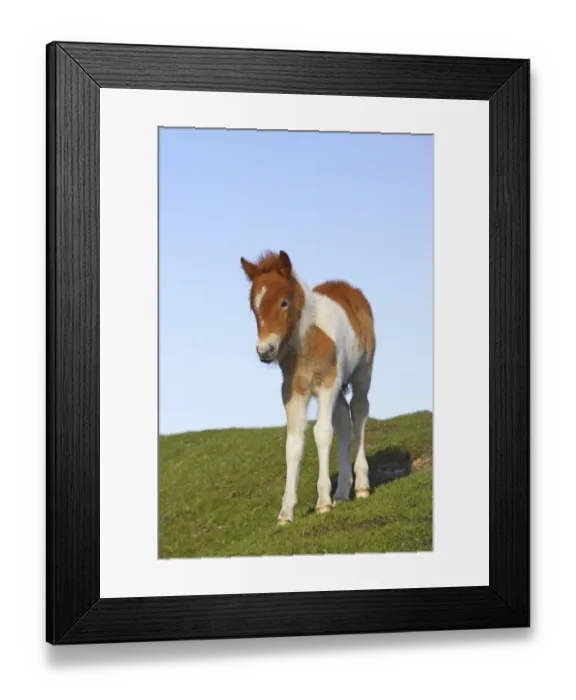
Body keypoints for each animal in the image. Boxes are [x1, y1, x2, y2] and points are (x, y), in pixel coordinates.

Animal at [240, 250, 376, 526]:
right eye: (253, 307)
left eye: (284, 302)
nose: (265, 351)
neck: (306, 342)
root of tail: (349, 288)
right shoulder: (293, 393)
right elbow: (294, 444)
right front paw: (285, 513)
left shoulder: (326, 385)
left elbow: (322, 433)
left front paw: (323, 502)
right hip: (337, 388)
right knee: (343, 419)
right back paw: (342, 493)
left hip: (361, 374)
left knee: (358, 412)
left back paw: (361, 487)